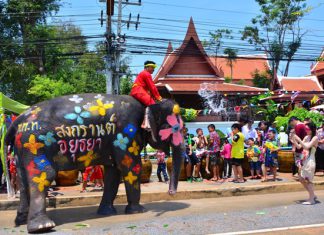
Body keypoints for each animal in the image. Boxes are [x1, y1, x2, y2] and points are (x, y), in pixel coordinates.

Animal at [4, 94, 185, 233]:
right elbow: (130, 168)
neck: (148, 105)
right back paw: (43, 226)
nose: (171, 193)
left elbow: (113, 172)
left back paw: (20, 221)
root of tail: (18, 120)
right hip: (34, 143)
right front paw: (138, 211)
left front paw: (107, 213)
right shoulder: (126, 133)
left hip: (20, 149)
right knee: (44, 174)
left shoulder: (115, 140)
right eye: (177, 129)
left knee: (22, 179)